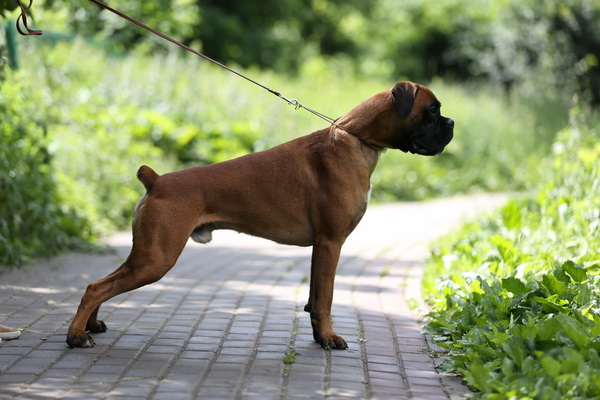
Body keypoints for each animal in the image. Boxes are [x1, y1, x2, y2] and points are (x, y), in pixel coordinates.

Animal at [66, 81, 454, 350]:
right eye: (432, 111)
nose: (451, 122)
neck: (356, 139)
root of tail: (157, 179)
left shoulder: (321, 248)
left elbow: (315, 297)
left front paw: (319, 336)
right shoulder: (331, 243)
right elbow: (326, 298)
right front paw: (329, 339)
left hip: (147, 254)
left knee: (100, 284)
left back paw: (90, 327)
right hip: (156, 258)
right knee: (97, 287)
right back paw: (76, 336)